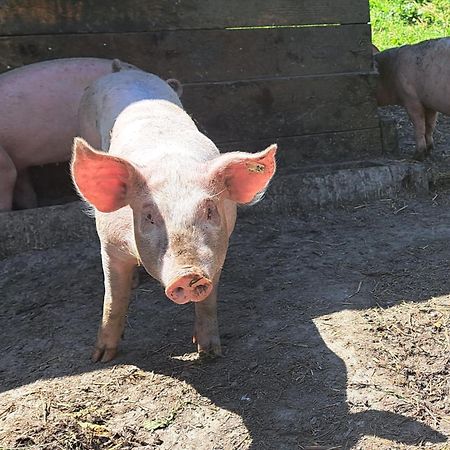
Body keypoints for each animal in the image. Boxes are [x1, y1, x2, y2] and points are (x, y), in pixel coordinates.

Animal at [71, 67, 276, 362]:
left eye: (209, 210)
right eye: (149, 216)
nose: (189, 274)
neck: (171, 166)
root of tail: (124, 70)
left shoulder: (219, 250)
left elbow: (208, 301)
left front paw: (209, 352)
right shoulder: (109, 244)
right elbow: (114, 300)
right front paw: (100, 357)